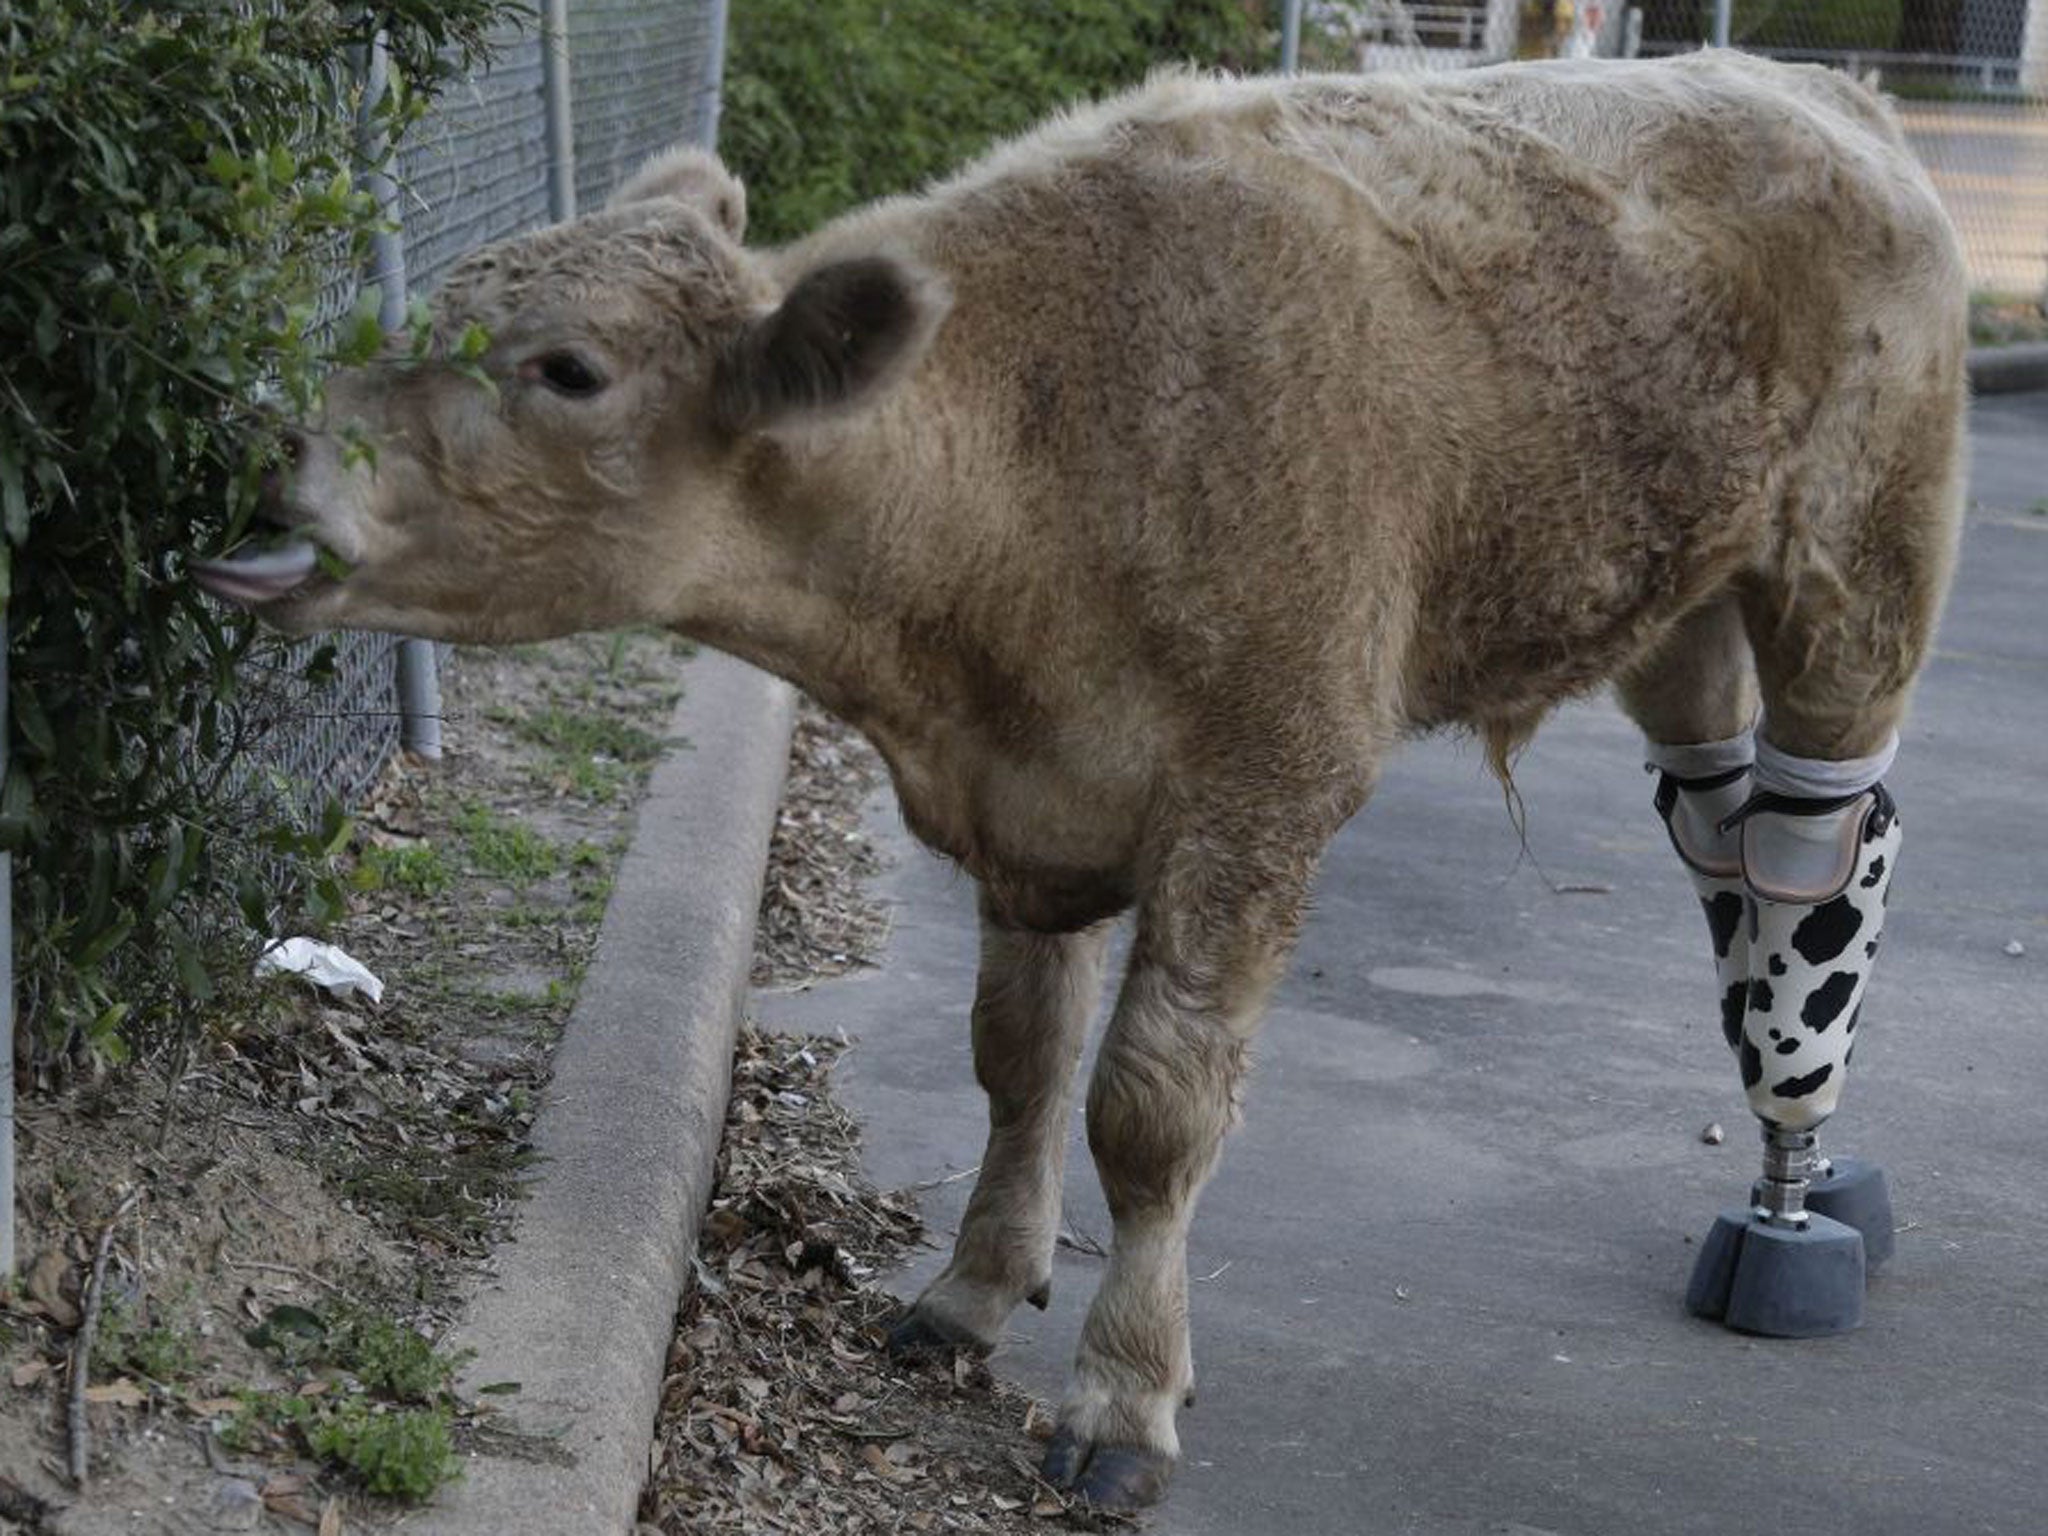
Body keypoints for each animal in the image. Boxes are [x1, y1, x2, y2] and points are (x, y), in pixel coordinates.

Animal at [195, 51, 1966, 1515]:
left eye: (567, 370)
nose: (271, 447)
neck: (1036, 449)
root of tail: (1823, 89)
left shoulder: (1255, 800)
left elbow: (1149, 1115)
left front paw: (1124, 1399)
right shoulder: (1029, 807)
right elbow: (1018, 1060)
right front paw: (973, 1293)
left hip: (1859, 584)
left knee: (1821, 853)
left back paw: (1802, 1165)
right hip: (1678, 614)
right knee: (1721, 831)